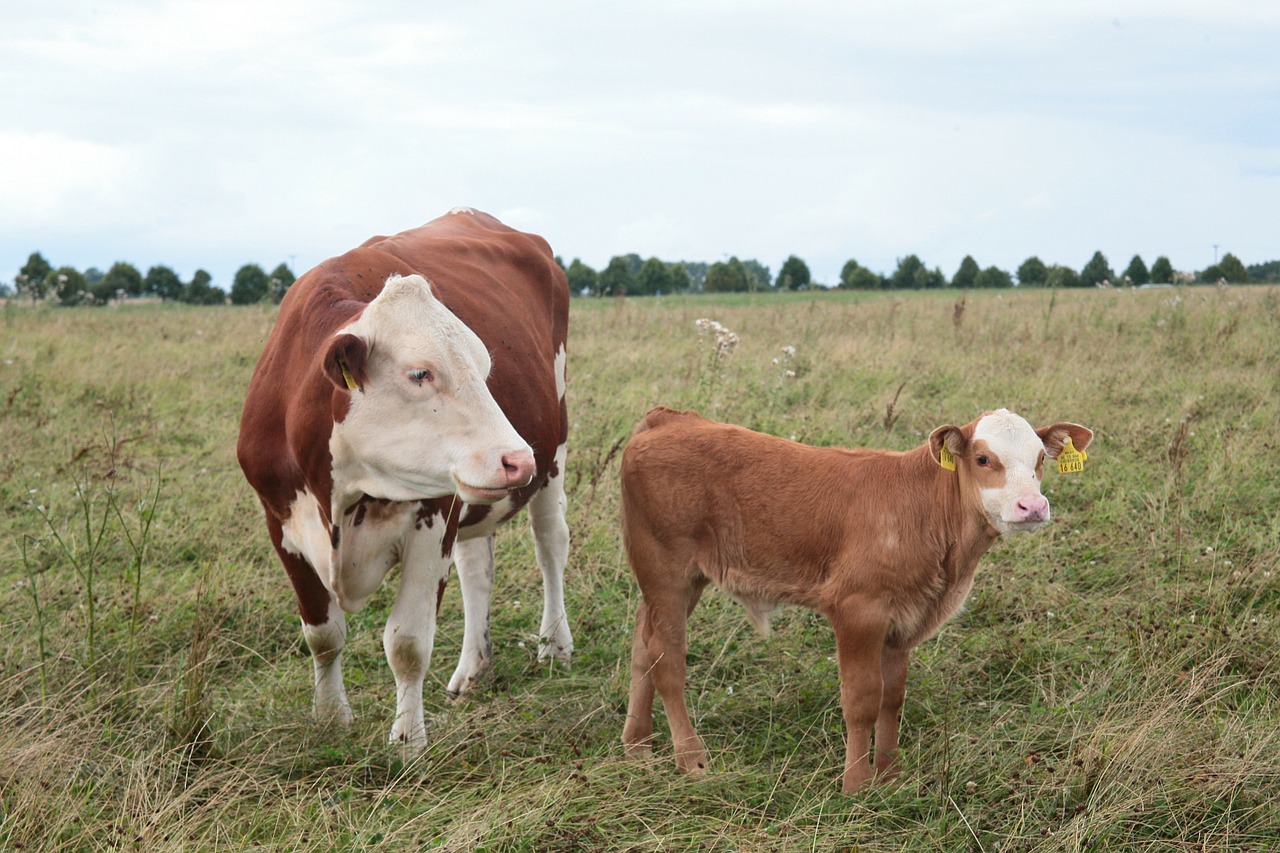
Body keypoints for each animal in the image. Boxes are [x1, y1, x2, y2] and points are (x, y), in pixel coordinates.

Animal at [236, 206, 576, 742]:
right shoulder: (282, 523)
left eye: (485, 367)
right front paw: (330, 719)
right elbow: (322, 634)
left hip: (554, 448)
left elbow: (408, 644)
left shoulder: (431, 519)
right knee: (477, 569)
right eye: (420, 373)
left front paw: (407, 741)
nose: (518, 458)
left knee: (550, 545)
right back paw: (473, 668)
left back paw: (554, 645)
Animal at [619, 404, 1090, 788]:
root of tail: (670, 419)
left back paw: (637, 746)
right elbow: (862, 699)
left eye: (1040, 460)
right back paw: (690, 758)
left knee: (642, 644)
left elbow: (892, 697)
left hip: (678, 579)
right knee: (667, 658)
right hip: (665, 569)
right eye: (983, 459)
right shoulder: (858, 610)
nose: (1032, 507)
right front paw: (857, 783)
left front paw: (890, 773)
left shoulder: (905, 618)